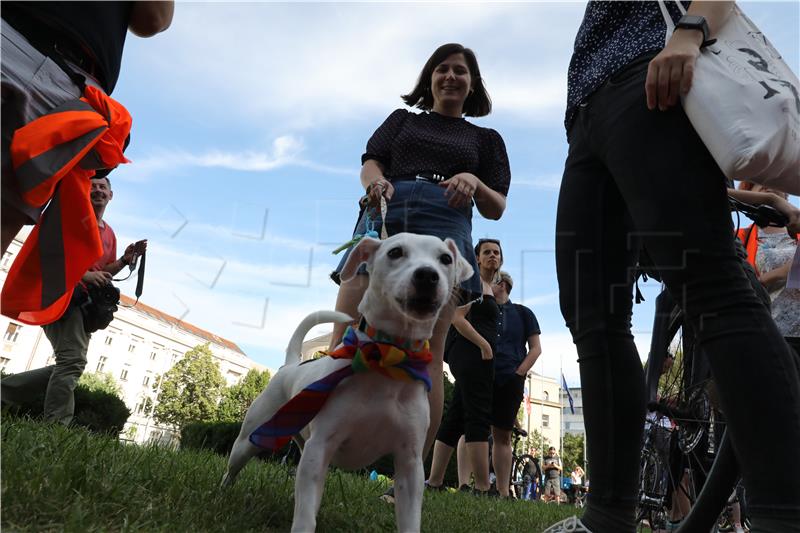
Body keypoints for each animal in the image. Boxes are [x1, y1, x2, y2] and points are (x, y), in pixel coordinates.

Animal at [220, 233, 468, 532]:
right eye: (395, 252)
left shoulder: (409, 464)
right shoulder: (320, 447)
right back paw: (222, 493)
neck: (386, 358)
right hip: (251, 439)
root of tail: (290, 365)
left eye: (445, 259)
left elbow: (409, 518)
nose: (428, 275)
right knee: (234, 468)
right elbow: (305, 516)